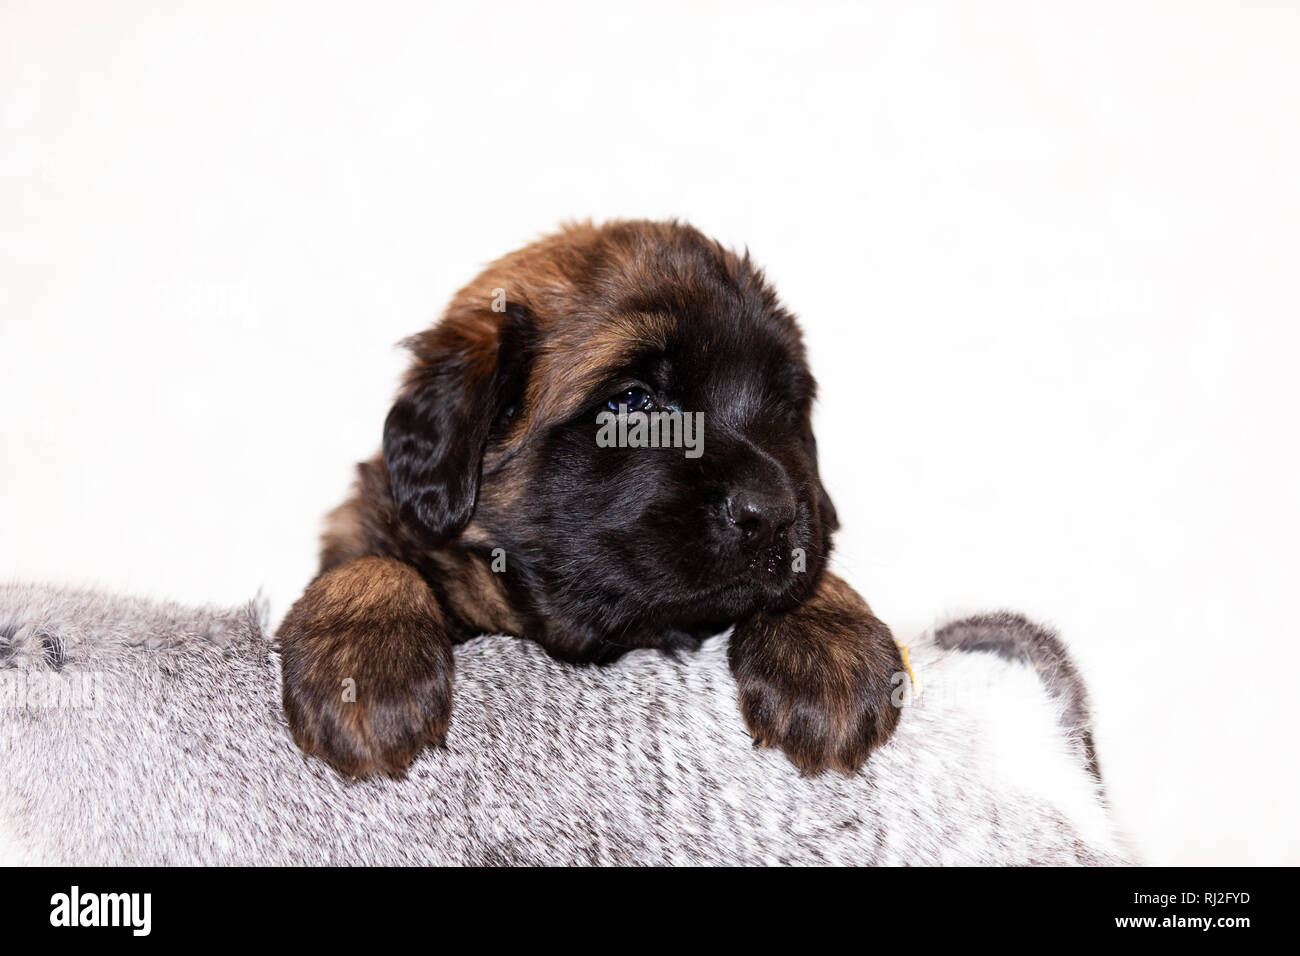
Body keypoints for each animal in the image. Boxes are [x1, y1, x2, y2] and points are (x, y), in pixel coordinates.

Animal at [278, 221, 899, 780]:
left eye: (786, 410)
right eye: (630, 401)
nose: (772, 515)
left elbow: (810, 580)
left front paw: (826, 648)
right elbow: (371, 564)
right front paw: (368, 667)